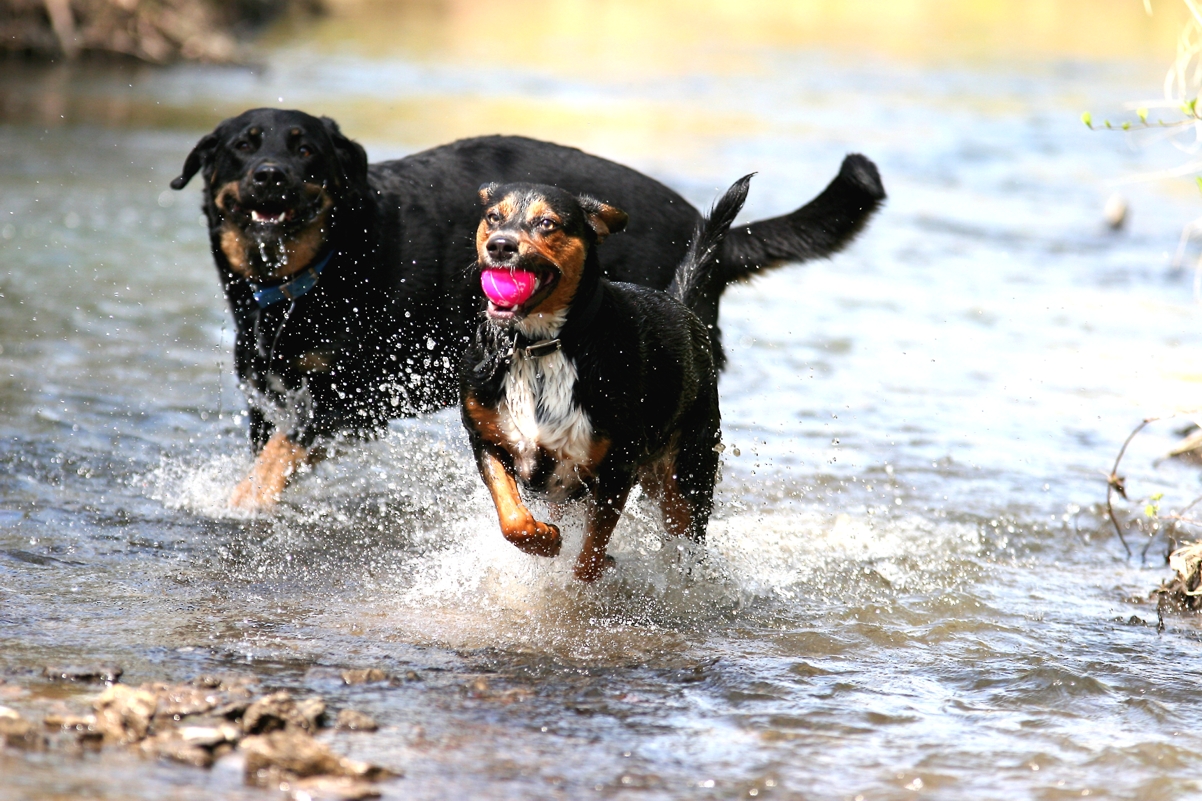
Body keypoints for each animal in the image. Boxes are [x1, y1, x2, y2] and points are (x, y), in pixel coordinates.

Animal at [169, 107, 884, 505]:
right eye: (243, 145)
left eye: (306, 149)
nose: (270, 176)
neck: (318, 267)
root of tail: (704, 233)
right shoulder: (269, 398)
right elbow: (267, 455)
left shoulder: (349, 401)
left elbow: (273, 463)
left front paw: (237, 505)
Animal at [454, 174, 745, 577]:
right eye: (493, 217)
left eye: (547, 223)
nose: (500, 245)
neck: (540, 347)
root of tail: (681, 306)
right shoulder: (486, 437)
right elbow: (512, 519)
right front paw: (544, 539)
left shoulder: (616, 467)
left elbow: (589, 557)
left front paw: (590, 571)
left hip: (687, 475)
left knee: (684, 536)